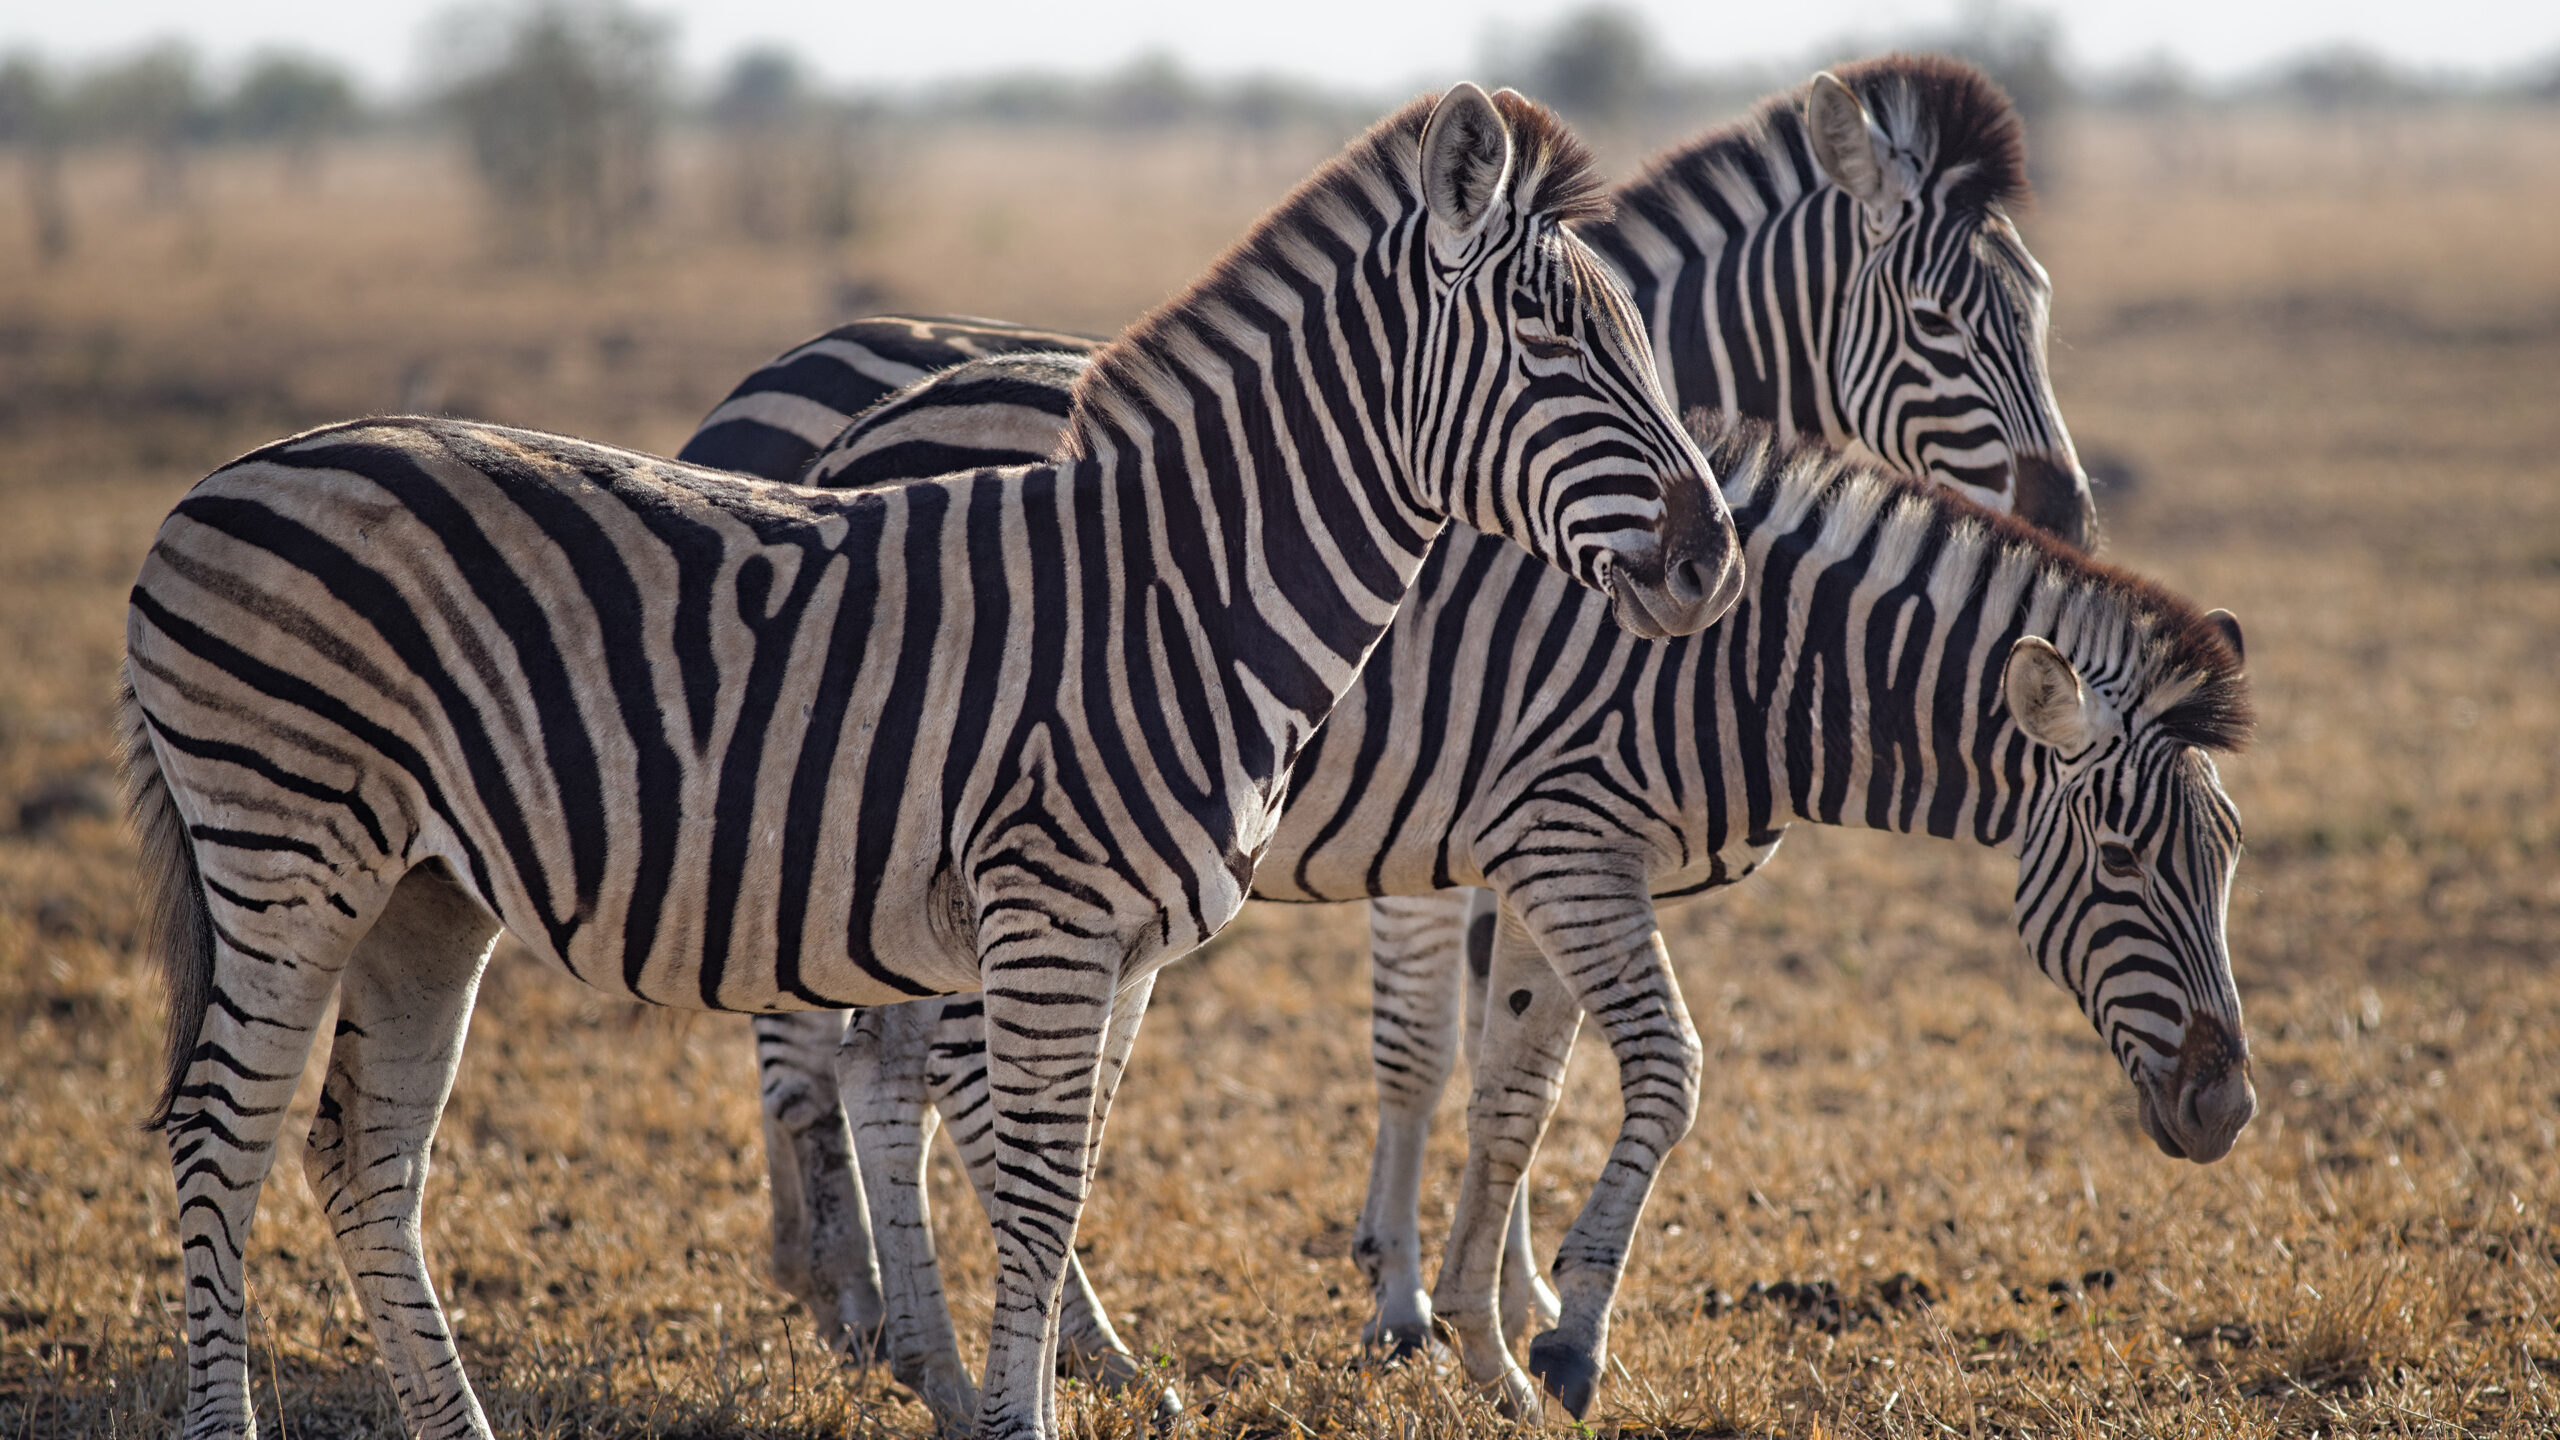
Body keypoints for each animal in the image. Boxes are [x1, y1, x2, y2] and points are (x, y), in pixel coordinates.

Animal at [129, 89, 1751, 1434]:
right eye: (1552, 346)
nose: (1713, 563)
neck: (1182, 594)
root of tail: (217, 482)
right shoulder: (1050, 916)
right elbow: (1030, 1193)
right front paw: (1021, 1408)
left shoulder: (1119, 944)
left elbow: (1063, 1174)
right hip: (288, 852)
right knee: (223, 1134)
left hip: (423, 890)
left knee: (362, 1153)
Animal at [747, 381, 2252, 1414]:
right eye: (2122, 862)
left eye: (2228, 859)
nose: (2229, 1112)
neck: (1748, 663)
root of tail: (867, 430)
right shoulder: (1572, 840)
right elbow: (1669, 1072)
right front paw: (1569, 1336)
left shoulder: (1546, 865)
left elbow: (1513, 1099)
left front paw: (1482, 1347)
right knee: (937, 1078)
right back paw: (1030, 1355)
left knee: (885, 1065)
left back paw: (976, 1357)